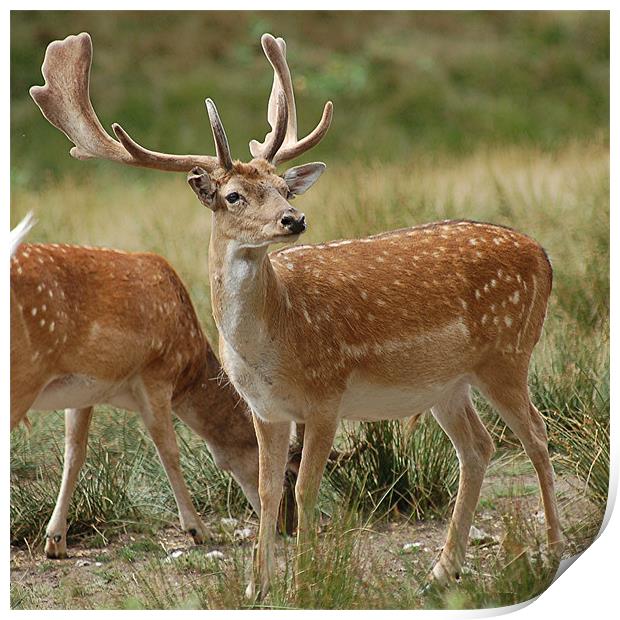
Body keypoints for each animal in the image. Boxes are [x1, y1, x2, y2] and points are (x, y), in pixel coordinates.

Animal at [27, 31, 560, 600]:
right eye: (233, 195)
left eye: (284, 188)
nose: (294, 218)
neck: (273, 343)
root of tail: (544, 257)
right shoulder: (266, 409)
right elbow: (265, 488)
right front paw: (257, 587)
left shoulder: (327, 395)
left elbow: (304, 489)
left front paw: (307, 582)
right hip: (445, 383)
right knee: (478, 447)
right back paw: (441, 571)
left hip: (507, 353)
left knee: (536, 432)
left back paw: (551, 549)